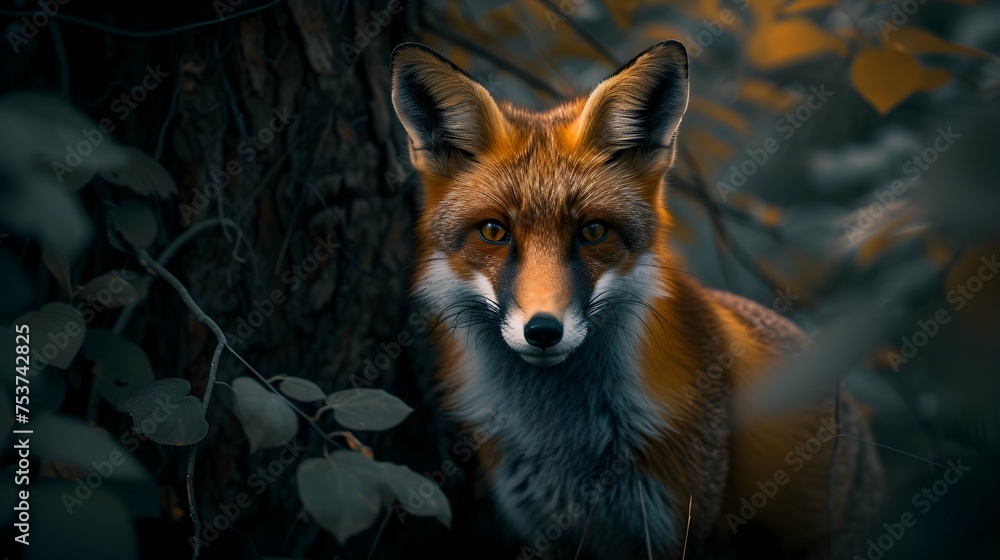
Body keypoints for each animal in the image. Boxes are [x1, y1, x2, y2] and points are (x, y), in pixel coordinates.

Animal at [390, 40, 882, 559]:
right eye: (493, 231)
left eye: (593, 231)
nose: (543, 331)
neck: (565, 442)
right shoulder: (544, 527)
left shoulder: (677, 524)